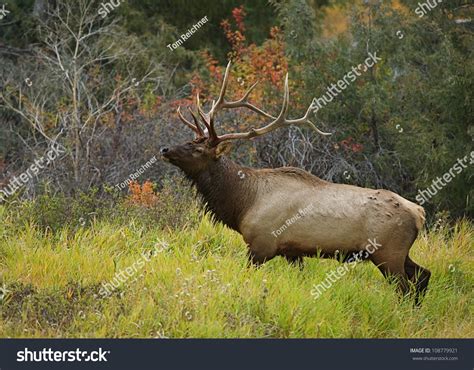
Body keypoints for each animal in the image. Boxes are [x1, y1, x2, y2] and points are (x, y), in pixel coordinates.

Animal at [161, 61, 432, 304]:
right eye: (190, 140)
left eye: (197, 149)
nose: (165, 149)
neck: (243, 203)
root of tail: (419, 212)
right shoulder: (292, 252)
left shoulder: (262, 245)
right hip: (398, 253)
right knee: (423, 275)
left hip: (388, 252)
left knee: (406, 286)